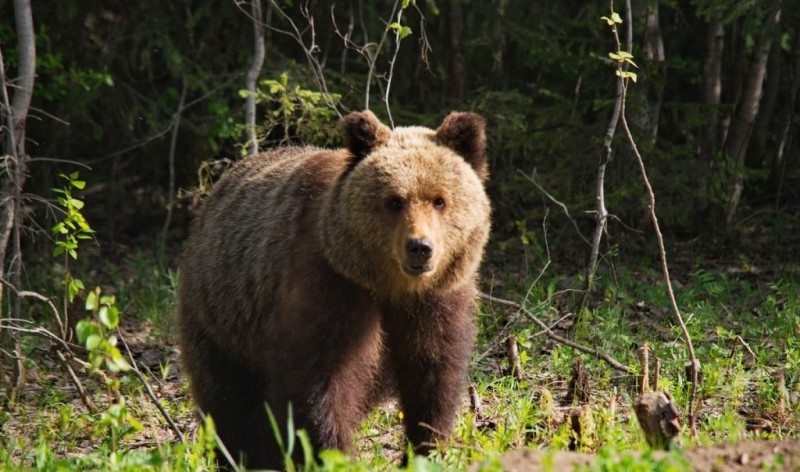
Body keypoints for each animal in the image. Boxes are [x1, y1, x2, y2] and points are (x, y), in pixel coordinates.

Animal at [178, 109, 490, 468]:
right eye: (394, 201)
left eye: (439, 200)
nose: (420, 247)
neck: (390, 285)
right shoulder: (328, 285)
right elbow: (317, 381)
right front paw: (334, 454)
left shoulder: (436, 300)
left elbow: (433, 372)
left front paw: (425, 449)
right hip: (222, 319)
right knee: (231, 404)